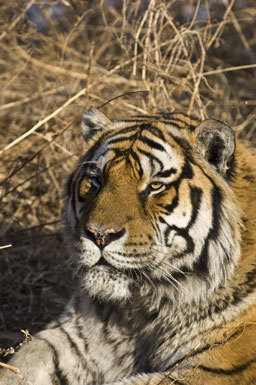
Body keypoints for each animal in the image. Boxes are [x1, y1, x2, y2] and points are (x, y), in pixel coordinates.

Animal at [1, 107, 256, 384]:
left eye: (155, 185)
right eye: (97, 180)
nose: (100, 235)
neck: (139, 312)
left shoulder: (212, 368)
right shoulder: (73, 338)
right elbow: (20, 364)